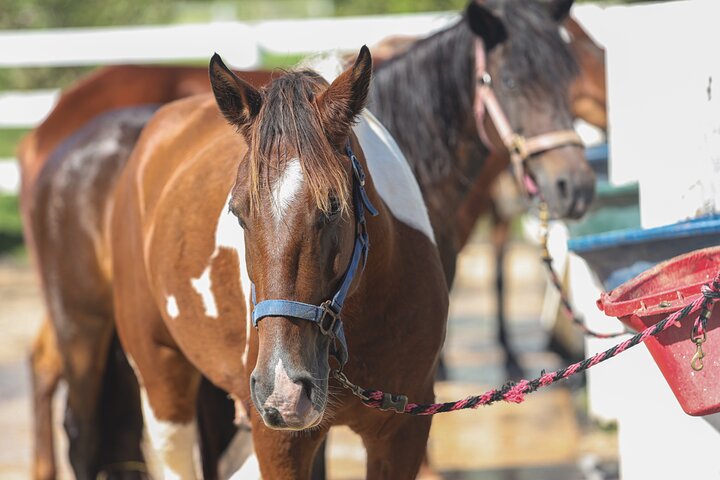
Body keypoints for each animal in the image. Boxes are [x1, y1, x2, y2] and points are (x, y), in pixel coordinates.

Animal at [109, 46, 447, 479]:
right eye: (237, 212)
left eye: (333, 207)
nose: (284, 391)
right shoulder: (279, 441)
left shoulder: (404, 433)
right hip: (161, 380)